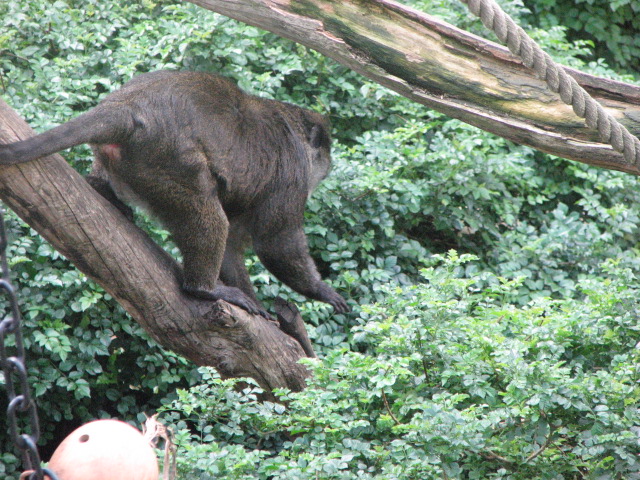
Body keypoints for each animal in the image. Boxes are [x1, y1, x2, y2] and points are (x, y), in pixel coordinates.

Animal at [0, 70, 350, 318]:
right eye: (325, 153)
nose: (329, 166)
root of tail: (128, 107)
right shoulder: (291, 178)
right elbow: (276, 244)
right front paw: (320, 290)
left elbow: (234, 246)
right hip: (169, 159)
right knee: (208, 217)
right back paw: (204, 290)